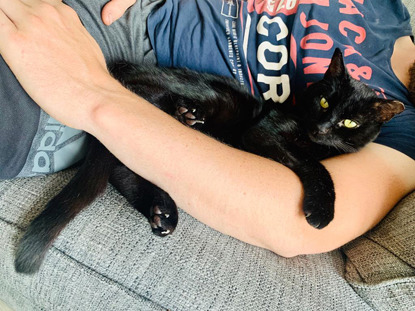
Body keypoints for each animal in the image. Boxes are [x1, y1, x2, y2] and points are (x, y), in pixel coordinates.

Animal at [14, 47, 404, 274]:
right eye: (324, 102)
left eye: (349, 122)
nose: (322, 127)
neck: (312, 140)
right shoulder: (262, 133)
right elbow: (314, 165)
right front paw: (322, 210)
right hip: (204, 96)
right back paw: (186, 117)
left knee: (123, 168)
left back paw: (163, 212)